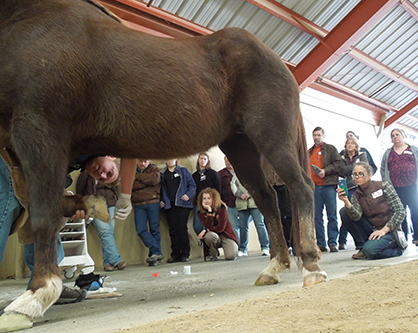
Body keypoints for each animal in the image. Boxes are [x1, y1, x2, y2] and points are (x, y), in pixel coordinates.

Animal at [0, 0, 326, 326]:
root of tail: (277, 62)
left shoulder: (40, 129)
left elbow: (43, 214)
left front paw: (34, 297)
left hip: (271, 135)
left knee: (300, 188)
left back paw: (311, 266)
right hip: (241, 145)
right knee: (267, 198)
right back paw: (274, 268)